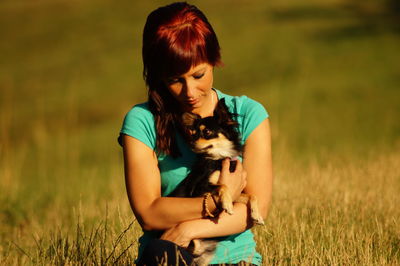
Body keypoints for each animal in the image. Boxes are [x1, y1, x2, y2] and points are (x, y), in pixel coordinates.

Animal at [170, 99, 264, 264]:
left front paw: (256, 215)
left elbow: (252, 196)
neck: (219, 159)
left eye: (207, 132)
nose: (191, 143)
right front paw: (226, 204)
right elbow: (222, 185)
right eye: (194, 133)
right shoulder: (199, 188)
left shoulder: (236, 192)